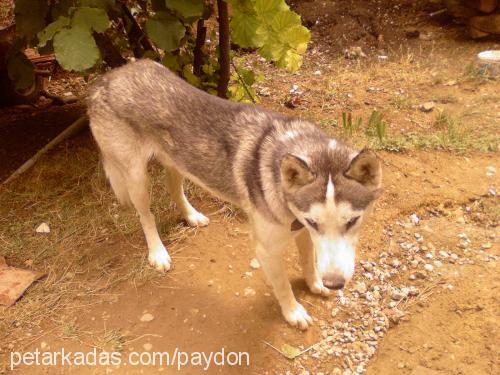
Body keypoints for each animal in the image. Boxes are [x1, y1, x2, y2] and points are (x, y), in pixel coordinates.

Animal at [87, 60, 382, 330]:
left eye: (352, 221)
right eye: (313, 222)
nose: (335, 283)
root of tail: (103, 81)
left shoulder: (303, 233)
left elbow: (309, 263)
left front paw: (316, 284)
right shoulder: (269, 249)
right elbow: (283, 286)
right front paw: (293, 312)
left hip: (177, 160)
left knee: (174, 187)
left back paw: (191, 216)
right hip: (136, 176)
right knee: (145, 215)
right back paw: (158, 253)